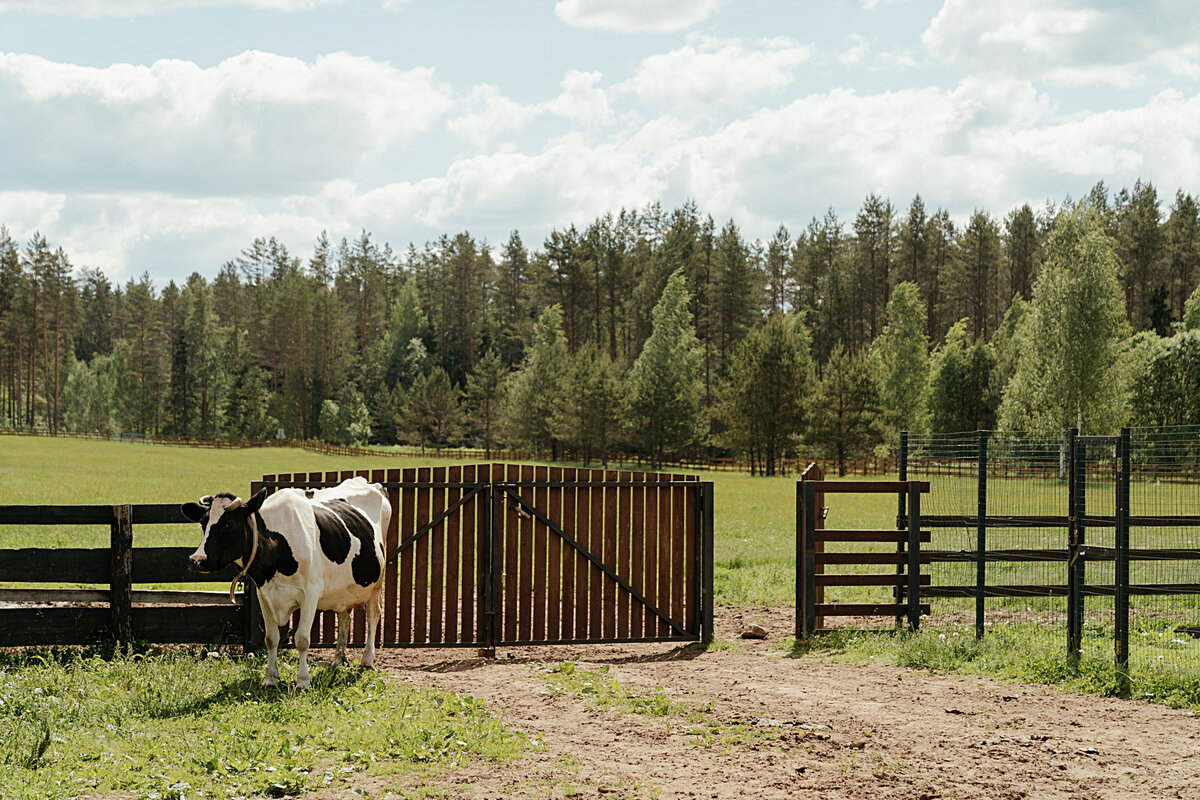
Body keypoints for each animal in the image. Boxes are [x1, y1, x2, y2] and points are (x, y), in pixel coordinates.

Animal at [180, 474, 391, 690]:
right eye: (203, 523)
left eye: (229, 524)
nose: (197, 560)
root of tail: (367, 482)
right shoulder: (264, 595)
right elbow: (271, 639)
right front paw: (270, 678)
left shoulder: (310, 594)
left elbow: (302, 639)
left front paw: (303, 681)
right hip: (342, 590)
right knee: (344, 616)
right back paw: (338, 660)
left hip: (377, 583)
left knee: (373, 615)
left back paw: (367, 660)